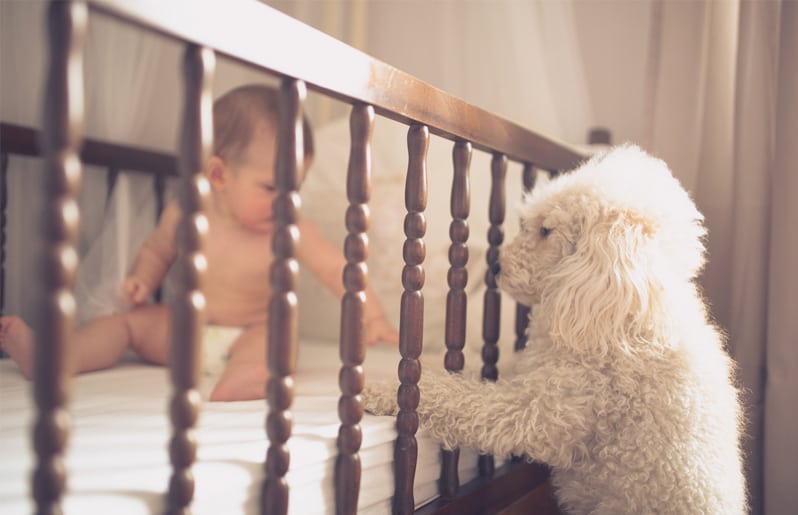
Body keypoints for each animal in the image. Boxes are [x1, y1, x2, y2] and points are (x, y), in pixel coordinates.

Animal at [368, 145, 752, 515]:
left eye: (545, 231)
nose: (495, 265)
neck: (623, 316)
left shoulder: (538, 413)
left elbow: (455, 398)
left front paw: (382, 391)